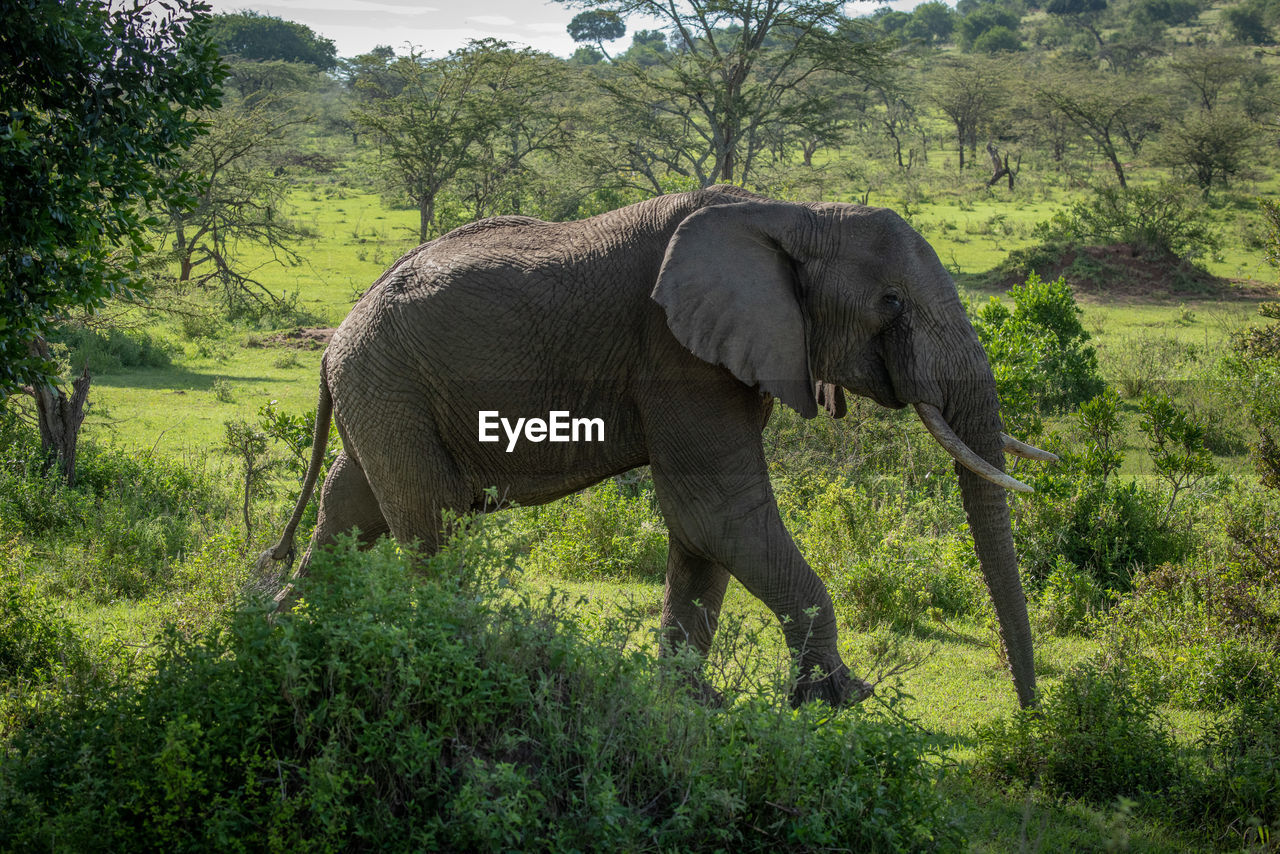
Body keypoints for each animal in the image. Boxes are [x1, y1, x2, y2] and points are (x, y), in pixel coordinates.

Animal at [254, 185, 1054, 706]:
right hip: (390, 384)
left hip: (381, 392)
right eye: (890, 304)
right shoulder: (674, 352)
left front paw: (686, 703)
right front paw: (839, 699)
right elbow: (718, 514)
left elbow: (703, 532)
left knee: (351, 508)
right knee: (432, 522)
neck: (793, 213)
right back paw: (457, 653)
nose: (1028, 711)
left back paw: (277, 624)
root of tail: (337, 335)